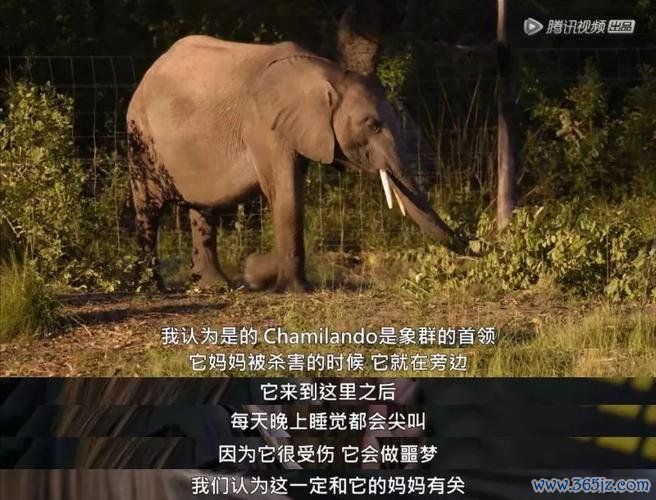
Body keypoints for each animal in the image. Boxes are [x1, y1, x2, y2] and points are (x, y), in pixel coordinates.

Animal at [127, 35, 466, 292]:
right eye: (373, 124)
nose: (473, 242)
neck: (326, 74)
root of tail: (146, 74)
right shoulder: (264, 125)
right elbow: (286, 192)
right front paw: (294, 289)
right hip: (141, 137)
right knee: (149, 208)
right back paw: (151, 288)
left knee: (204, 210)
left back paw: (215, 286)